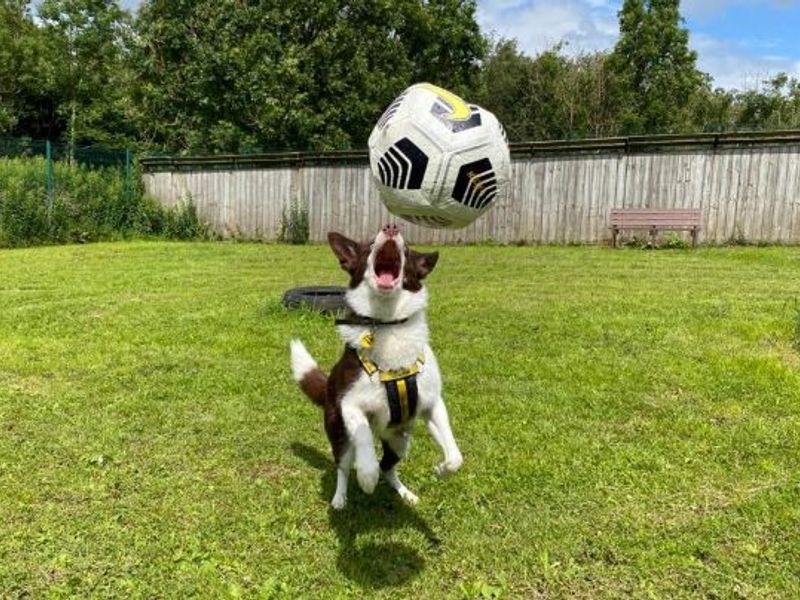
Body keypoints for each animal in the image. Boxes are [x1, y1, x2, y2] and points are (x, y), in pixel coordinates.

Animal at [290, 225, 462, 510]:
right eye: (370, 244)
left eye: (407, 249)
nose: (391, 227)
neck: (387, 322)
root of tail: (326, 388)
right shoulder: (350, 405)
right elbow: (364, 446)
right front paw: (366, 479)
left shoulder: (433, 404)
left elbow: (456, 456)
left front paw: (441, 469)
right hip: (339, 432)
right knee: (344, 465)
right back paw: (340, 497)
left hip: (400, 441)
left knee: (388, 467)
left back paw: (403, 492)